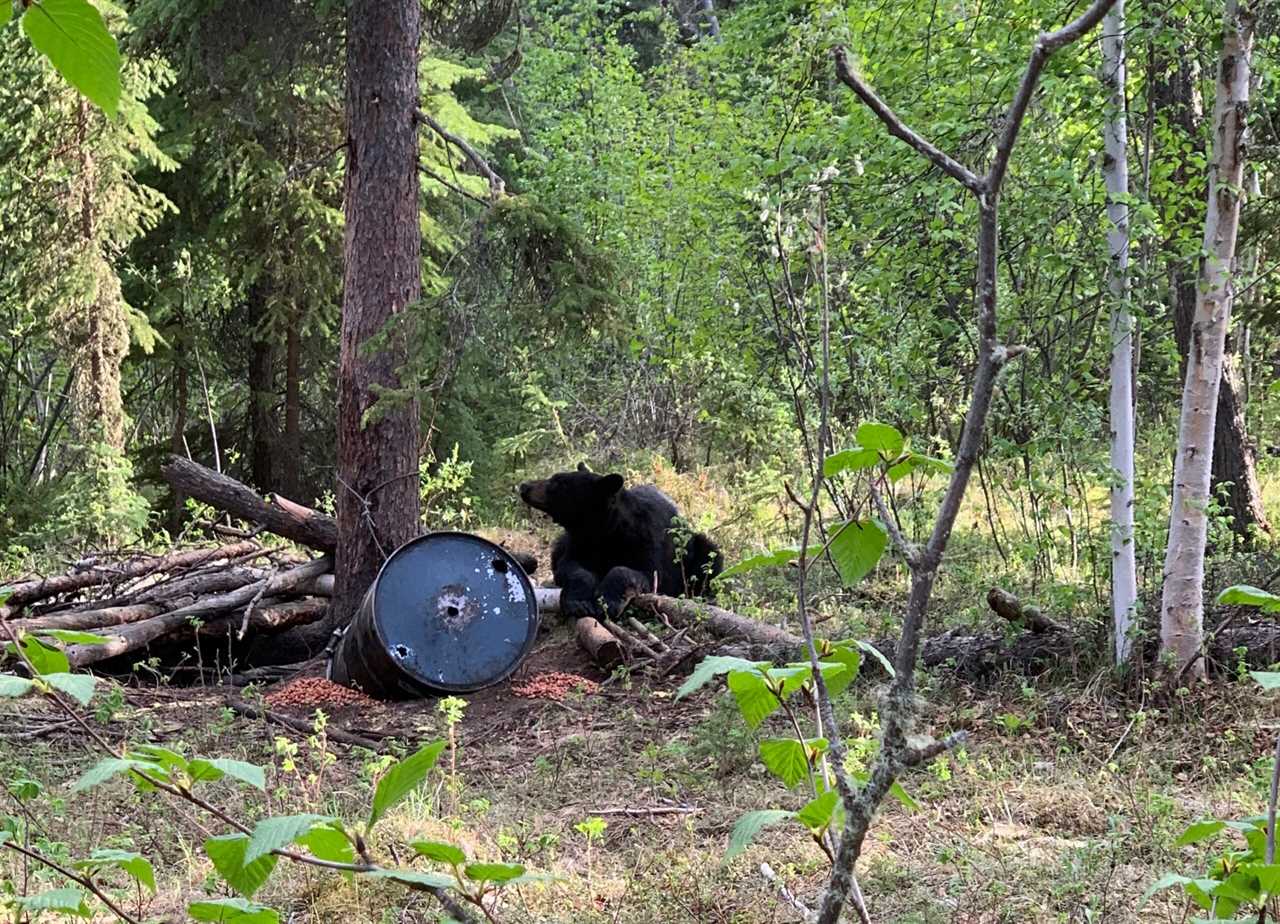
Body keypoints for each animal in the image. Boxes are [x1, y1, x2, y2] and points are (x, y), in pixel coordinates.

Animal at [517, 460, 721, 619]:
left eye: (557, 483)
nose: (524, 486)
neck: (603, 530)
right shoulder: (579, 542)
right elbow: (571, 567)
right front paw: (578, 602)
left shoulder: (646, 540)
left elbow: (640, 572)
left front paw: (608, 602)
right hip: (561, 542)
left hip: (696, 548)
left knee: (710, 556)